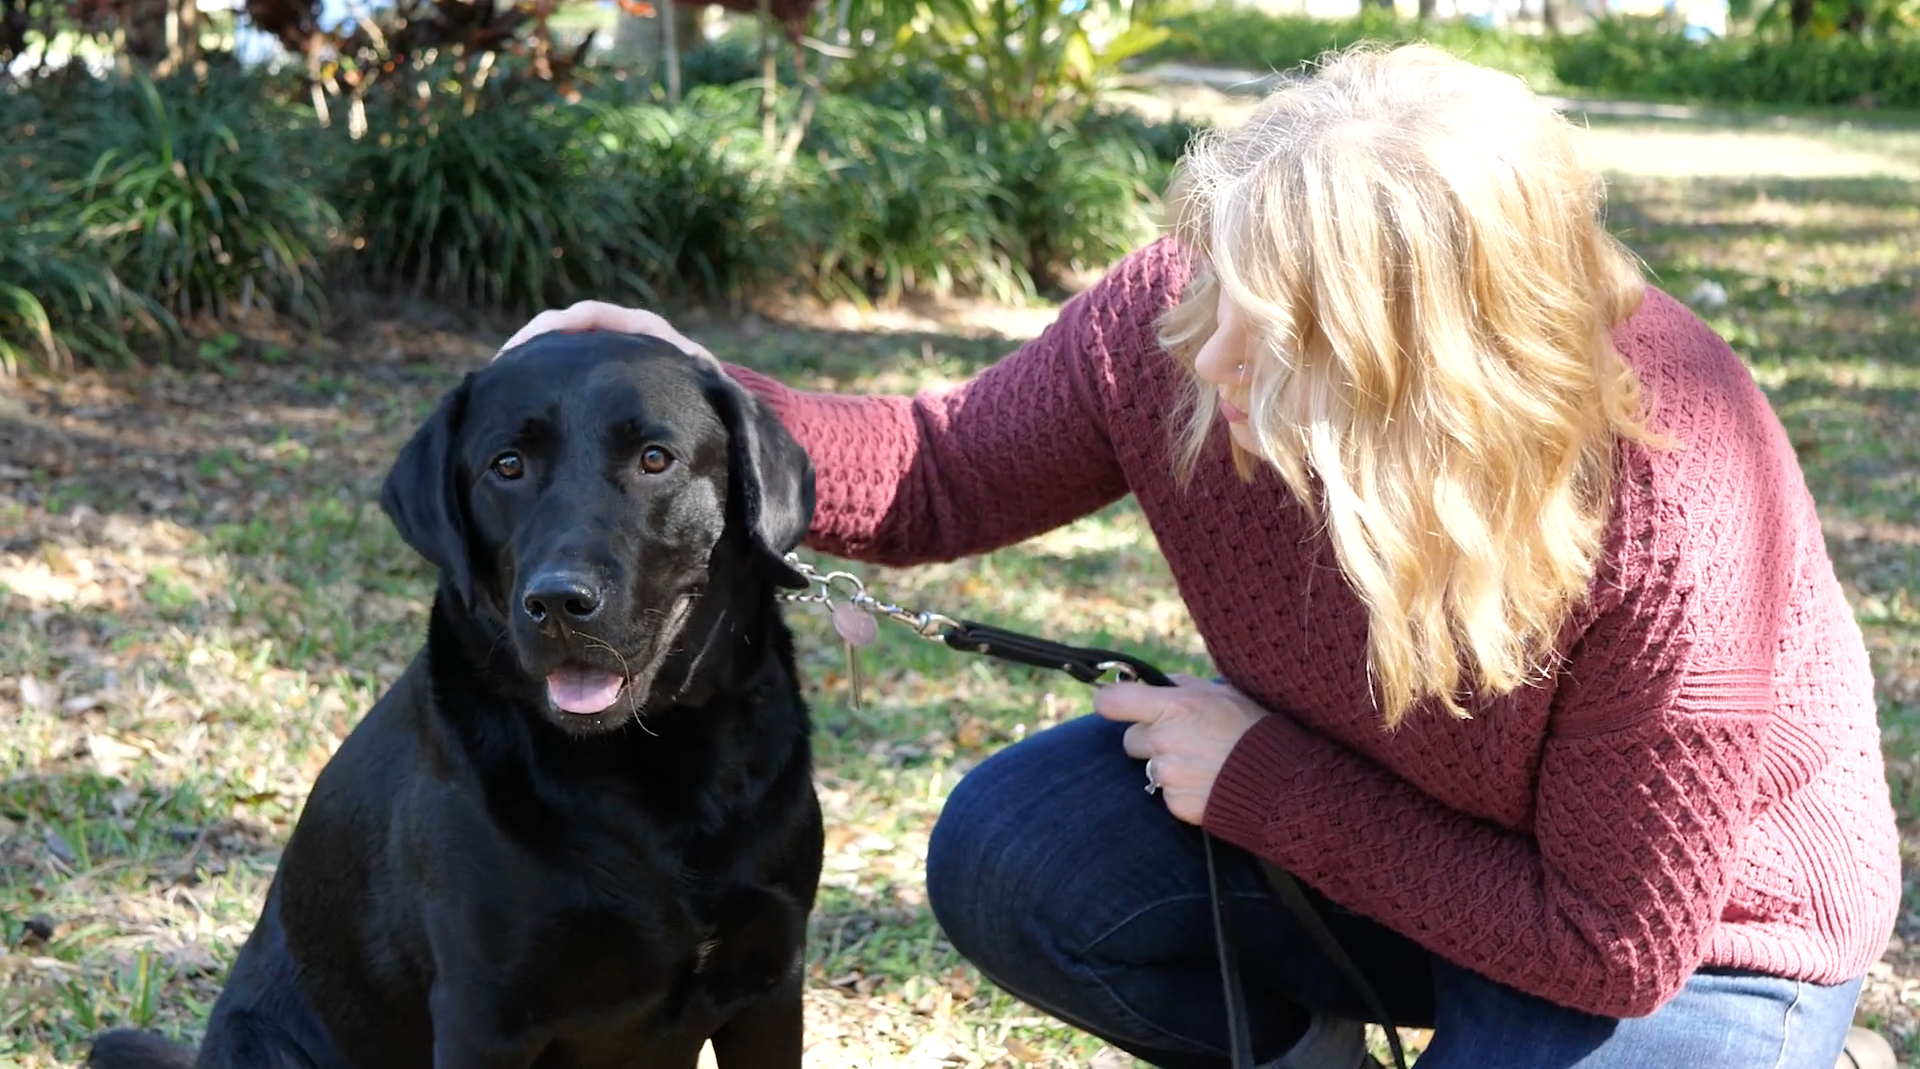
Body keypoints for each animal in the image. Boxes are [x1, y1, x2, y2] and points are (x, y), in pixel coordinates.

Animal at [90, 333, 825, 1067]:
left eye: (654, 458)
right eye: (508, 465)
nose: (559, 602)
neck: (649, 770)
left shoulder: (771, 986)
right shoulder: (485, 1011)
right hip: (262, 1040)